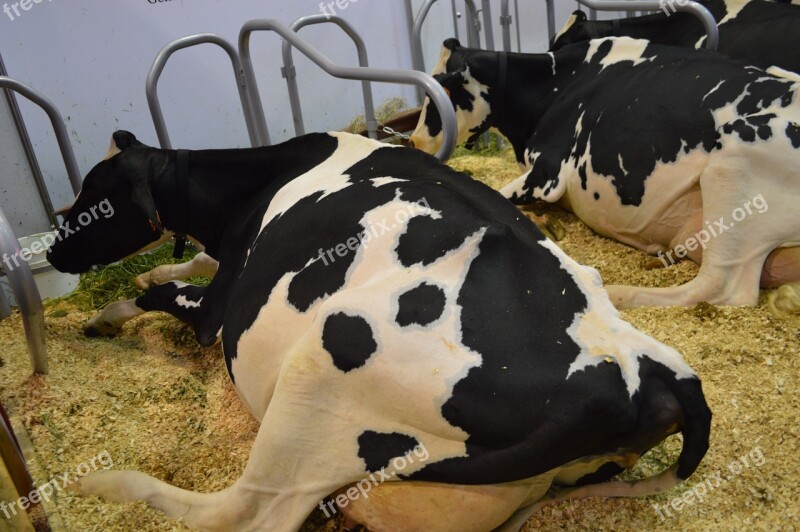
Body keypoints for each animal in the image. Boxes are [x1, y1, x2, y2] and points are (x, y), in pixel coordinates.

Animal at [45, 131, 712, 528]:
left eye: (95, 194)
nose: (51, 251)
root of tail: (642, 377)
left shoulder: (220, 310)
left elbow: (163, 294)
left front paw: (105, 315)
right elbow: (180, 268)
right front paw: (154, 267)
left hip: (320, 365)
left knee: (246, 511)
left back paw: (109, 483)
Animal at [412, 37, 800, 310]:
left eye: (443, 92)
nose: (414, 141)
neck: (558, 84)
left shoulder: (547, 172)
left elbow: (489, 193)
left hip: (732, 163)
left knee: (721, 285)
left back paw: (614, 293)